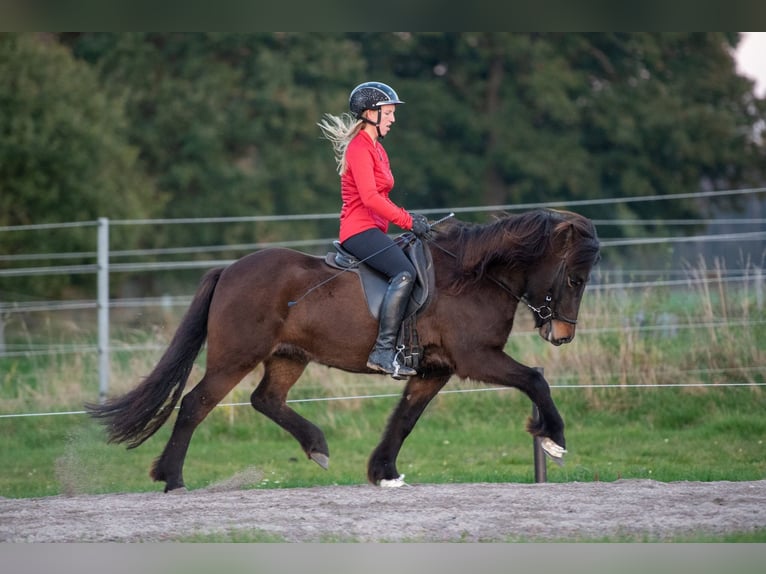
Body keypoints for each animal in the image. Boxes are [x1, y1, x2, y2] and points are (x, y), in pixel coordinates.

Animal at [87, 209, 604, 492]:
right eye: (575, 279)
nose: (562, 335)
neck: (473, 277)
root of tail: (229, 270)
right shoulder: (476, 357)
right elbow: (534, 378)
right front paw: (553, 439)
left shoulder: (433, 369)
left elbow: (405, 419)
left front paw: (384, 471)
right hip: (235, 357)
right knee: (196, 404)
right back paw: (173, 478)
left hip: (288, 356)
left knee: (265, 399)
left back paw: (316, 446)